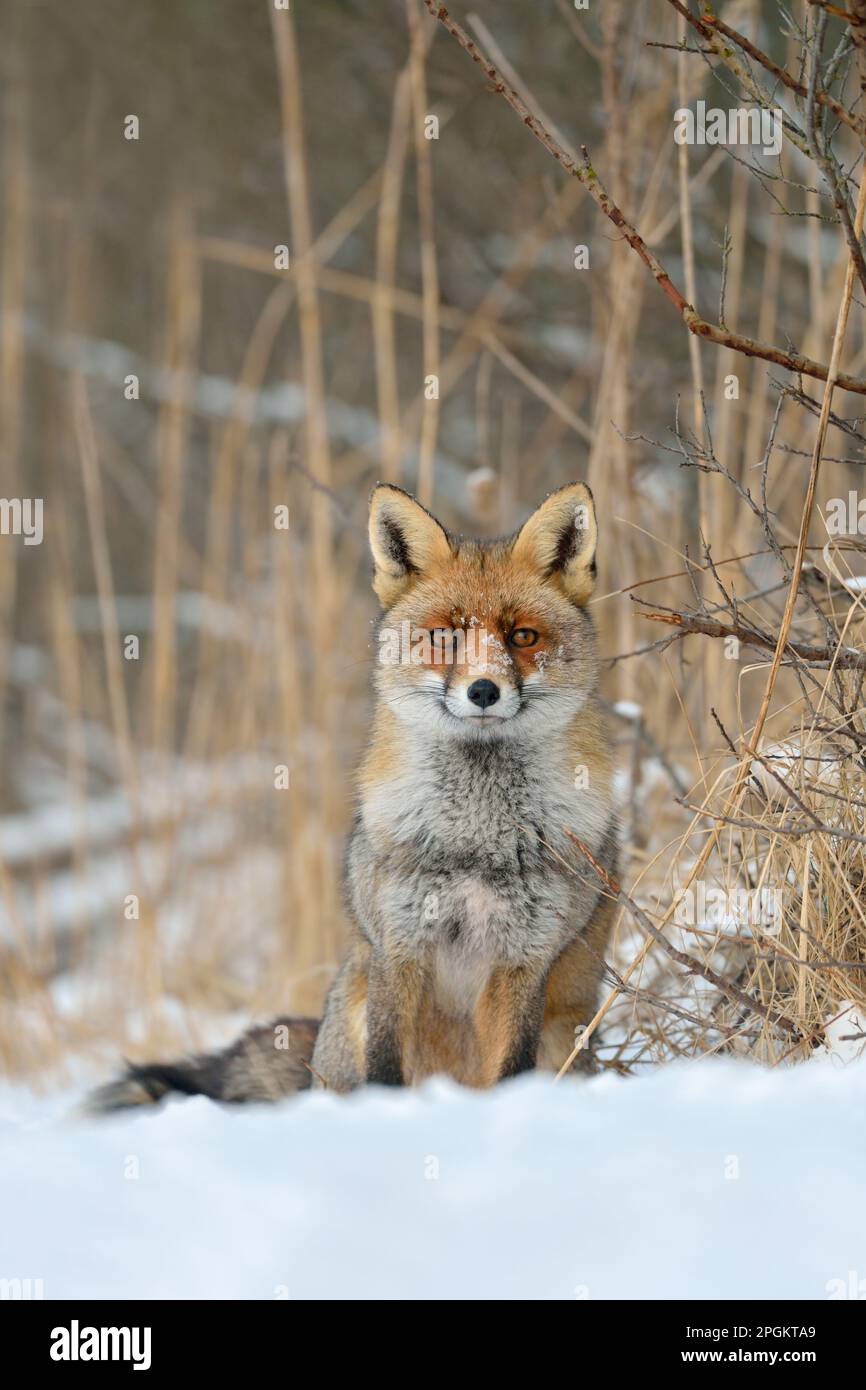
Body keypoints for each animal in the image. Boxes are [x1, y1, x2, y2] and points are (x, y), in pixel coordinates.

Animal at [89, 483, 617, 1112]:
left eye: (523, 637)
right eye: (445, 637)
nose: (484, 691)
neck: (475, 837)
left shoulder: (523, 962)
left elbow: (510, 1069)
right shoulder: (399, 946)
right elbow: (385, 1067)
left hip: (565, 1037)